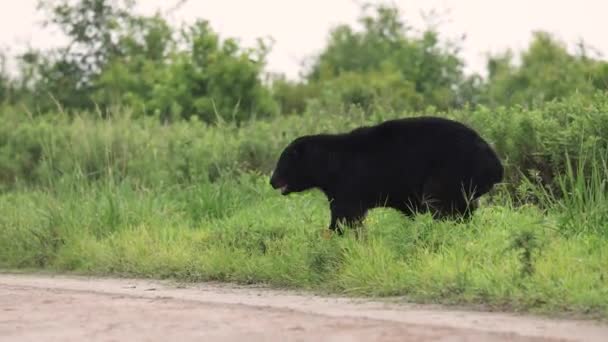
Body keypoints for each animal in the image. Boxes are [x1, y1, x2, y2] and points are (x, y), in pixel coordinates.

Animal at [270, 117, 504, 232]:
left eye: (282, 162)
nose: (272, 181)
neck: (330, 164)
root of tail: (496, 166)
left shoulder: (349, 182)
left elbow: (345, 214)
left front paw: (335, 234)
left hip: (451, 172)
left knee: (442, 205)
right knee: (464, 210)